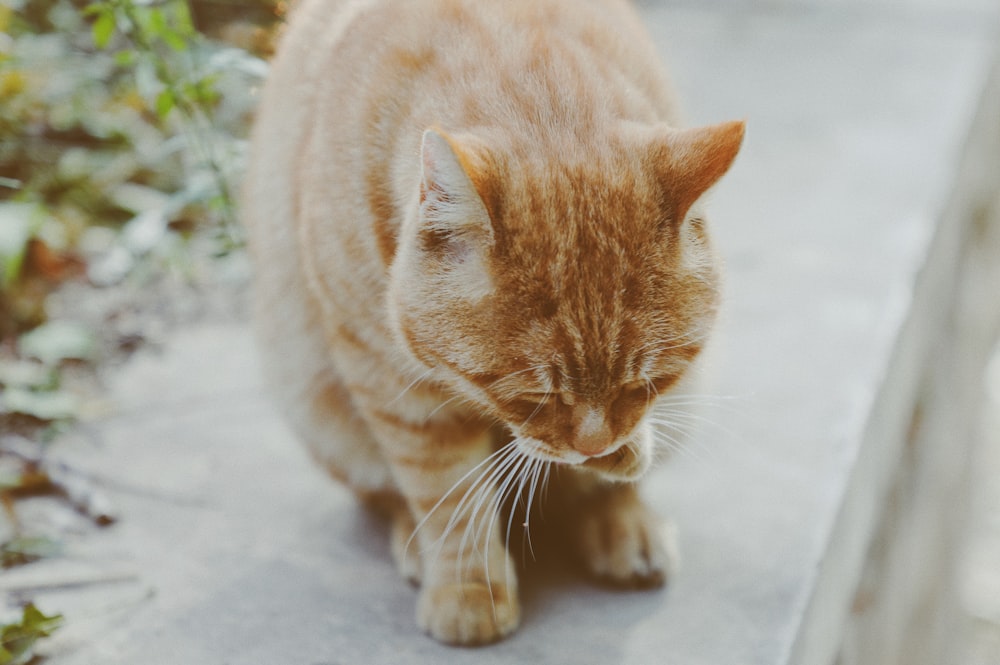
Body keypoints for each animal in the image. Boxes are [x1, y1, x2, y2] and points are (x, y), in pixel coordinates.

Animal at [242, 0, 744, 644]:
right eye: (533, 395)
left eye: (645, 384)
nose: (594, 444)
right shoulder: (390, 379)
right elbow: (446, 489)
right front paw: (468, 589)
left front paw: (620, 459)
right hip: (314, 401)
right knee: (387, 490)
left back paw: (624, 523)